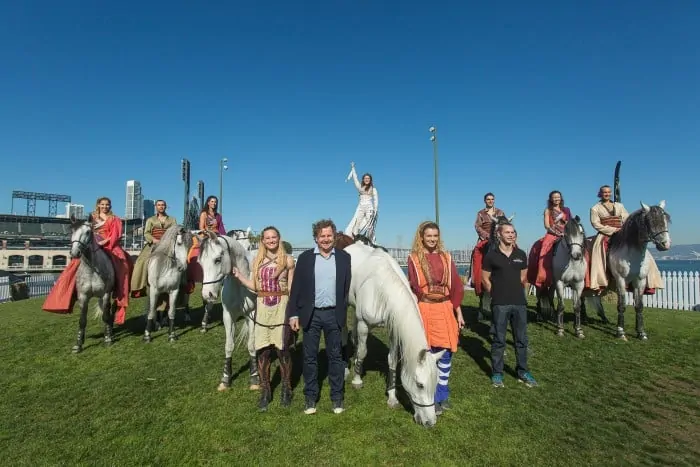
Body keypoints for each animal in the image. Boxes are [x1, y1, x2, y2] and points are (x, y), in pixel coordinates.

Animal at [68, 219, 116, 354]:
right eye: (71, 231)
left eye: (88, 232)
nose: (75, 253)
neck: (92, 270)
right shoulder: (83, 297)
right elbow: (82, 320)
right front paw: (78, 344)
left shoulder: (106, 294)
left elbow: (105, 316)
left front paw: (107, 338)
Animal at [197, 233, 260, 392]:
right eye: (200, 263)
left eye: (217, 260)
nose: (207, 295)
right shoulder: (228, 316)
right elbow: (229, 346)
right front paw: (225, 379)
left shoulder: (252, 314)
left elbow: (251, 345)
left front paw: (254, 377)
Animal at [334, 234, 442, 428]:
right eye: (420, 384)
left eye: (436, 383)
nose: (430, 422)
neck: (381, 288)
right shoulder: (364, 324)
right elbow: (363, 351)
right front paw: (357, 379)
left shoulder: (393, 329)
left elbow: (392, 360)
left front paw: (392, 397)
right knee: (345, 333)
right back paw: (346, 367)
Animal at [608, 201, 672, 340]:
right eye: (650, 221)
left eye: (665, 219)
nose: (665, 245)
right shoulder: (620, 280)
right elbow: (621, 305)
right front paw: (620, 332)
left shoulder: (640, 281)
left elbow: (639, 306)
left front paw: (641, 332)